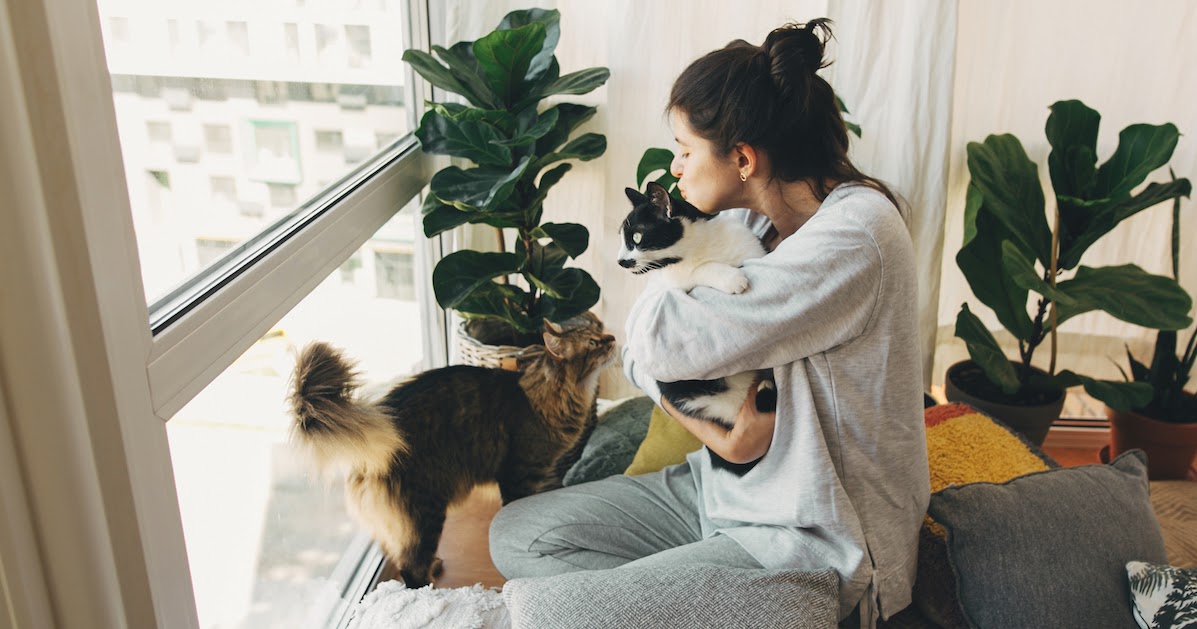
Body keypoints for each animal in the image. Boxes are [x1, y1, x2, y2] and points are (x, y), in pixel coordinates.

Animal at [286, 313, 612, 589]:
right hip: (426, 514)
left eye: (600, 333)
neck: (554, 394)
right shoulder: (519, 474)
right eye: (593, 343)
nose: (611, 338)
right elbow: (517, 507)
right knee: (410, 569)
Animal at [617, 178, 775, 428]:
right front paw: (733, 278)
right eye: (623, 238)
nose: (620, 261)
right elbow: (697, 270)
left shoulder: (752, 247)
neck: (699, 248)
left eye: (637, 238)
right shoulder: (672, 283)